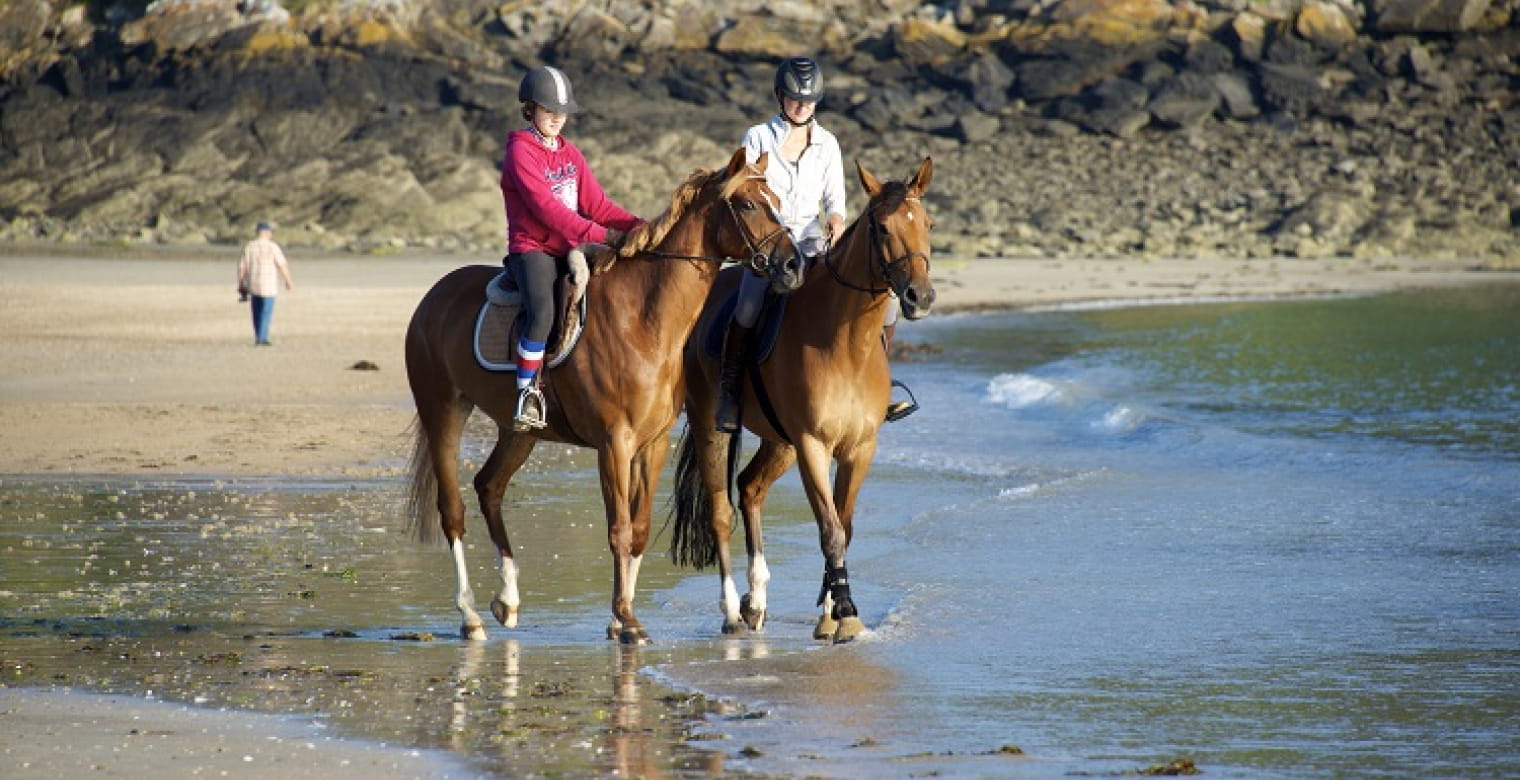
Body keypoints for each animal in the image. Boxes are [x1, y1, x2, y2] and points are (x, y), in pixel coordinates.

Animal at [404, 149, 808, 641]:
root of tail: (434, 297)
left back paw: (508, 599)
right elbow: (618, 528)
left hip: (519, 432)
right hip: (442, 412)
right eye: (749, 204)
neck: (643, 321)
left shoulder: (651, 445)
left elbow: (639, 528)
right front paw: (625, 618)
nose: (794, 265)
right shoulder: (613, 444)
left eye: (778, 201)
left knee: (489, 487)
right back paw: (470, 615)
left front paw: (622, 617)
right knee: (453, 510)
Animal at [677, 156, 936, 638]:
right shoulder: (813, 445)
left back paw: (756, 600)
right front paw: (846, 613)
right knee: (721, 510)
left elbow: (844, 526)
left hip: (780, 441)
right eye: (883, 228)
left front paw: (830, 611)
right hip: (713, 427)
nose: (920, 296)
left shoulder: (859, 448)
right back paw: (732, 610)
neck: (847, 342)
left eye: (928, 223)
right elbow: (830, 529)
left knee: (750, 487)